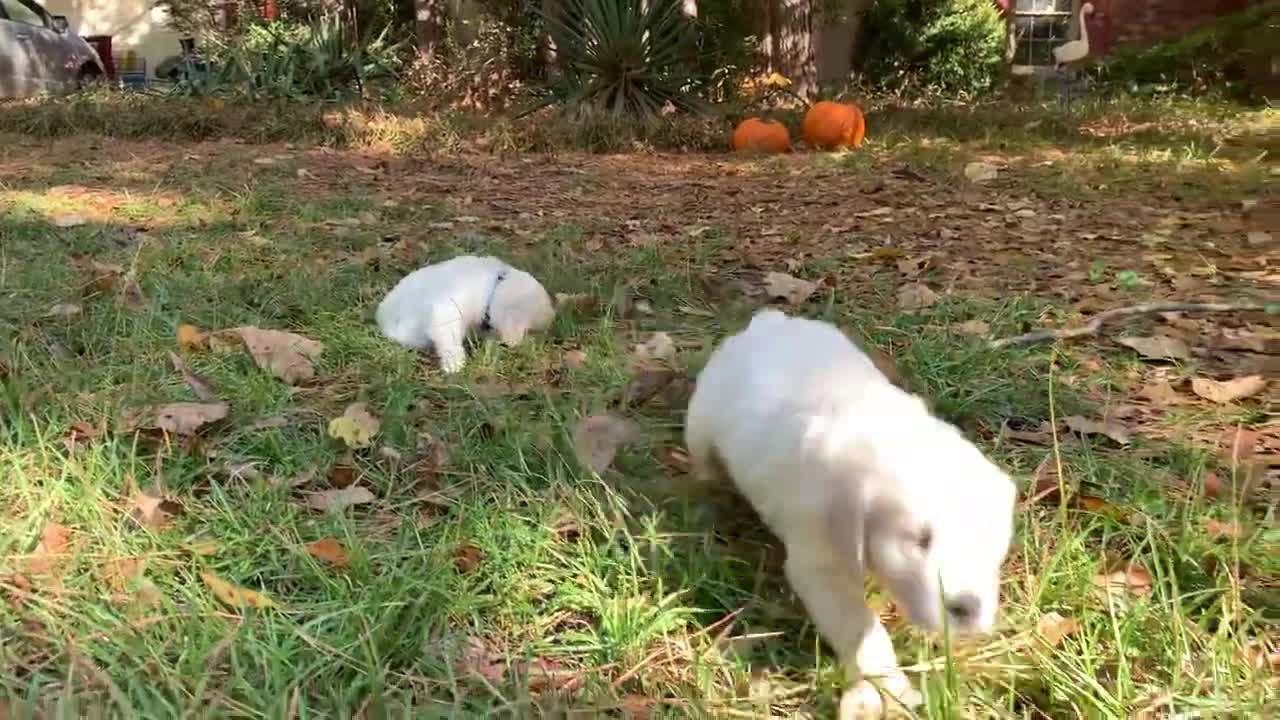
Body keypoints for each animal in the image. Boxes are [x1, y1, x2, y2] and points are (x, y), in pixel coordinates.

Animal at [686, 308, 1013, 717]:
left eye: (988, 541)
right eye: (919, 541)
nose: (967, 607)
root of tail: (767, 321)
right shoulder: (820, 566)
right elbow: (863, 628)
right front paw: (893, 686)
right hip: (700, 423)